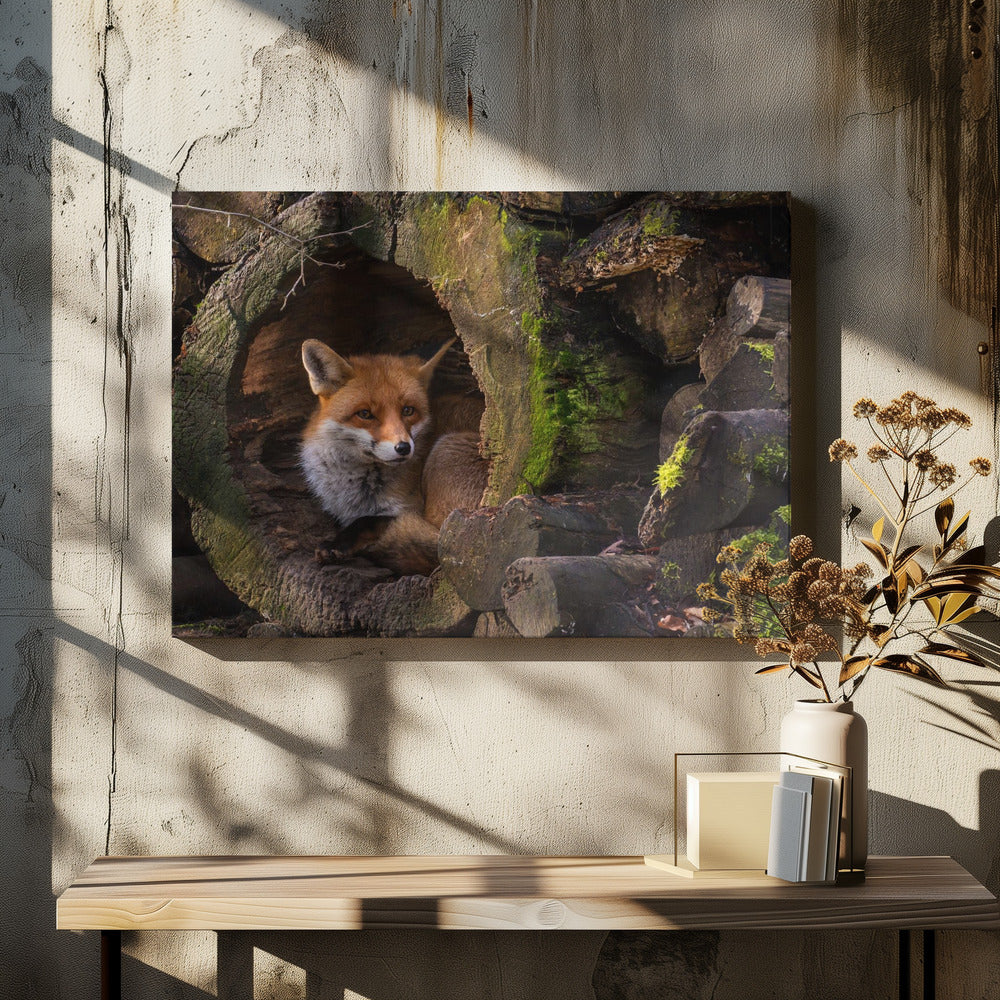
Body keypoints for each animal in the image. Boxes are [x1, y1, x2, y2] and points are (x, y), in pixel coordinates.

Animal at [300, 337, 487, 575]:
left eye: (408, 410)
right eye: (365, 414)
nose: (404, 447)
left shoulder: (409, 509)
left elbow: (367, 520)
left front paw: (337, 543)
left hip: (445, 457)